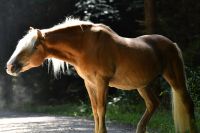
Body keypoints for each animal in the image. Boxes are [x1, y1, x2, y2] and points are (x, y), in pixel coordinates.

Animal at [5, 17, 198, 133]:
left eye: (34, 46)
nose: (10, 66)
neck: (84, 47)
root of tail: (172, 44)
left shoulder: (101, 82)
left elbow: (101, 109)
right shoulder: (89, 83)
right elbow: (95, 110)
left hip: (175, 77)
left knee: (187, 103)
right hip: (142, 85)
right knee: (153, 104)